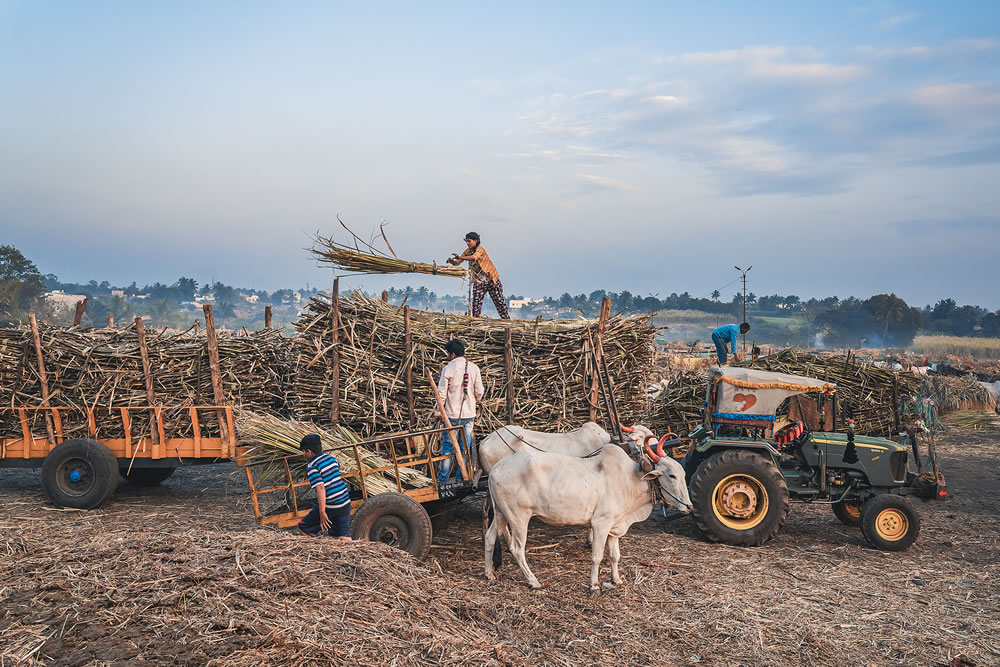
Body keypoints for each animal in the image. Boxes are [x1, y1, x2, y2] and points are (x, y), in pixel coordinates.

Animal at [486, 446, 692, 592]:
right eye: (672, 475)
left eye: (683, 474)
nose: (689, 507)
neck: (631, 480)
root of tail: (497, 467)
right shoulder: (600, 523)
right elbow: (597, 556)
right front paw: (594, 585)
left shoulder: (614, 527)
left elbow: (615, 556)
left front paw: (616, 580)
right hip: (518, 517)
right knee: (517, 549)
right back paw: (534, 581)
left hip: (501, 514)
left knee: (489, 538)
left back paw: (489, 574)